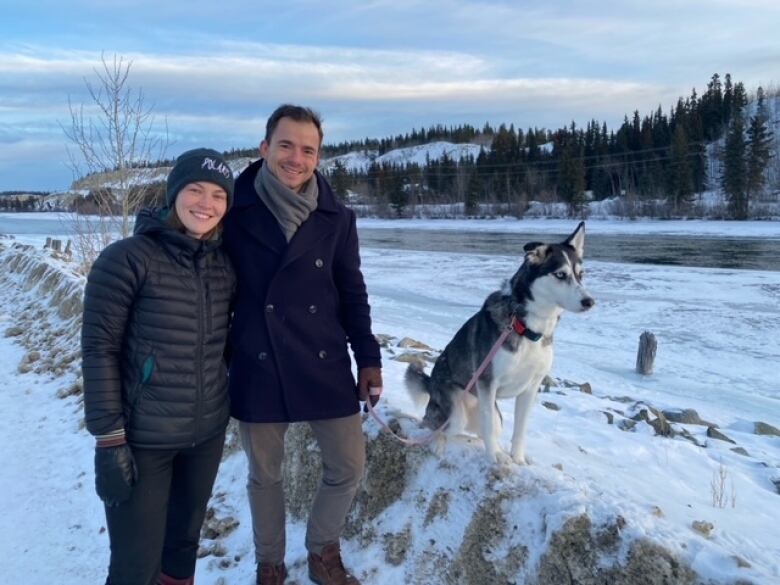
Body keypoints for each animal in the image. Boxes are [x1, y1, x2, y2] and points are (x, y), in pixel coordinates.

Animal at [406, 221, 596, 464]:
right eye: (561, 275)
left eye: (581, 275)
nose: (589, 301)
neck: (527, 328)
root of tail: (430, 383)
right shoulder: (488, 382)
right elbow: (487, 424)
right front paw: (494, 456)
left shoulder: (531, 387)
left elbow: (520, 429)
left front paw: (518, 458)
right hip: (455, 409)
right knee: (436, 425)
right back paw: (438, 443)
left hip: (494, 416)